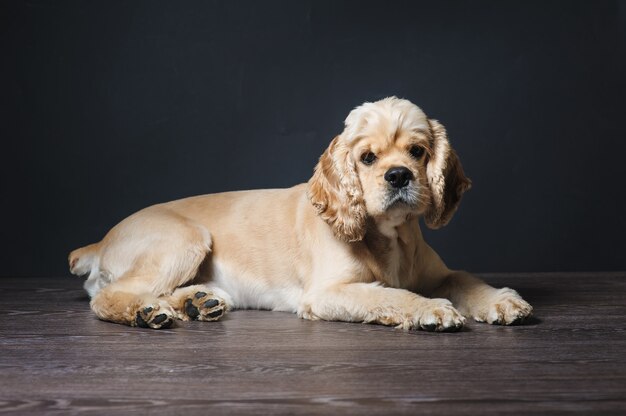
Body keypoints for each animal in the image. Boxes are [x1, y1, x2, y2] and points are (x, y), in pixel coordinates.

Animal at [69, 97, 532, 332]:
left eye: (417, 151)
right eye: (367, 157)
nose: (399, 175)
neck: (390, 237)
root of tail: (100, 242)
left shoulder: (439, 273)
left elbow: (465, 279)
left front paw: (501, 300)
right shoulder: (327, 292)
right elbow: (391, 294)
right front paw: (430, 310)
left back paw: (198, 302)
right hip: (186, 240)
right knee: (108, 297)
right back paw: (149, 312)